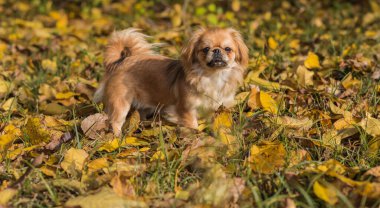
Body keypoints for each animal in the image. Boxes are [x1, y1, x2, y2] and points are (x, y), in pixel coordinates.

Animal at [94, 26, 249, 136]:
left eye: (228, 49)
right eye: (206, 49)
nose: (216, 50)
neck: (212, 76)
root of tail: (121, 62)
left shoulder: (214, 109)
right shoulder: (187, 109)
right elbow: (193, 125)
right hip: (120, 103)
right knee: (115, 122)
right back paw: (118, 139)